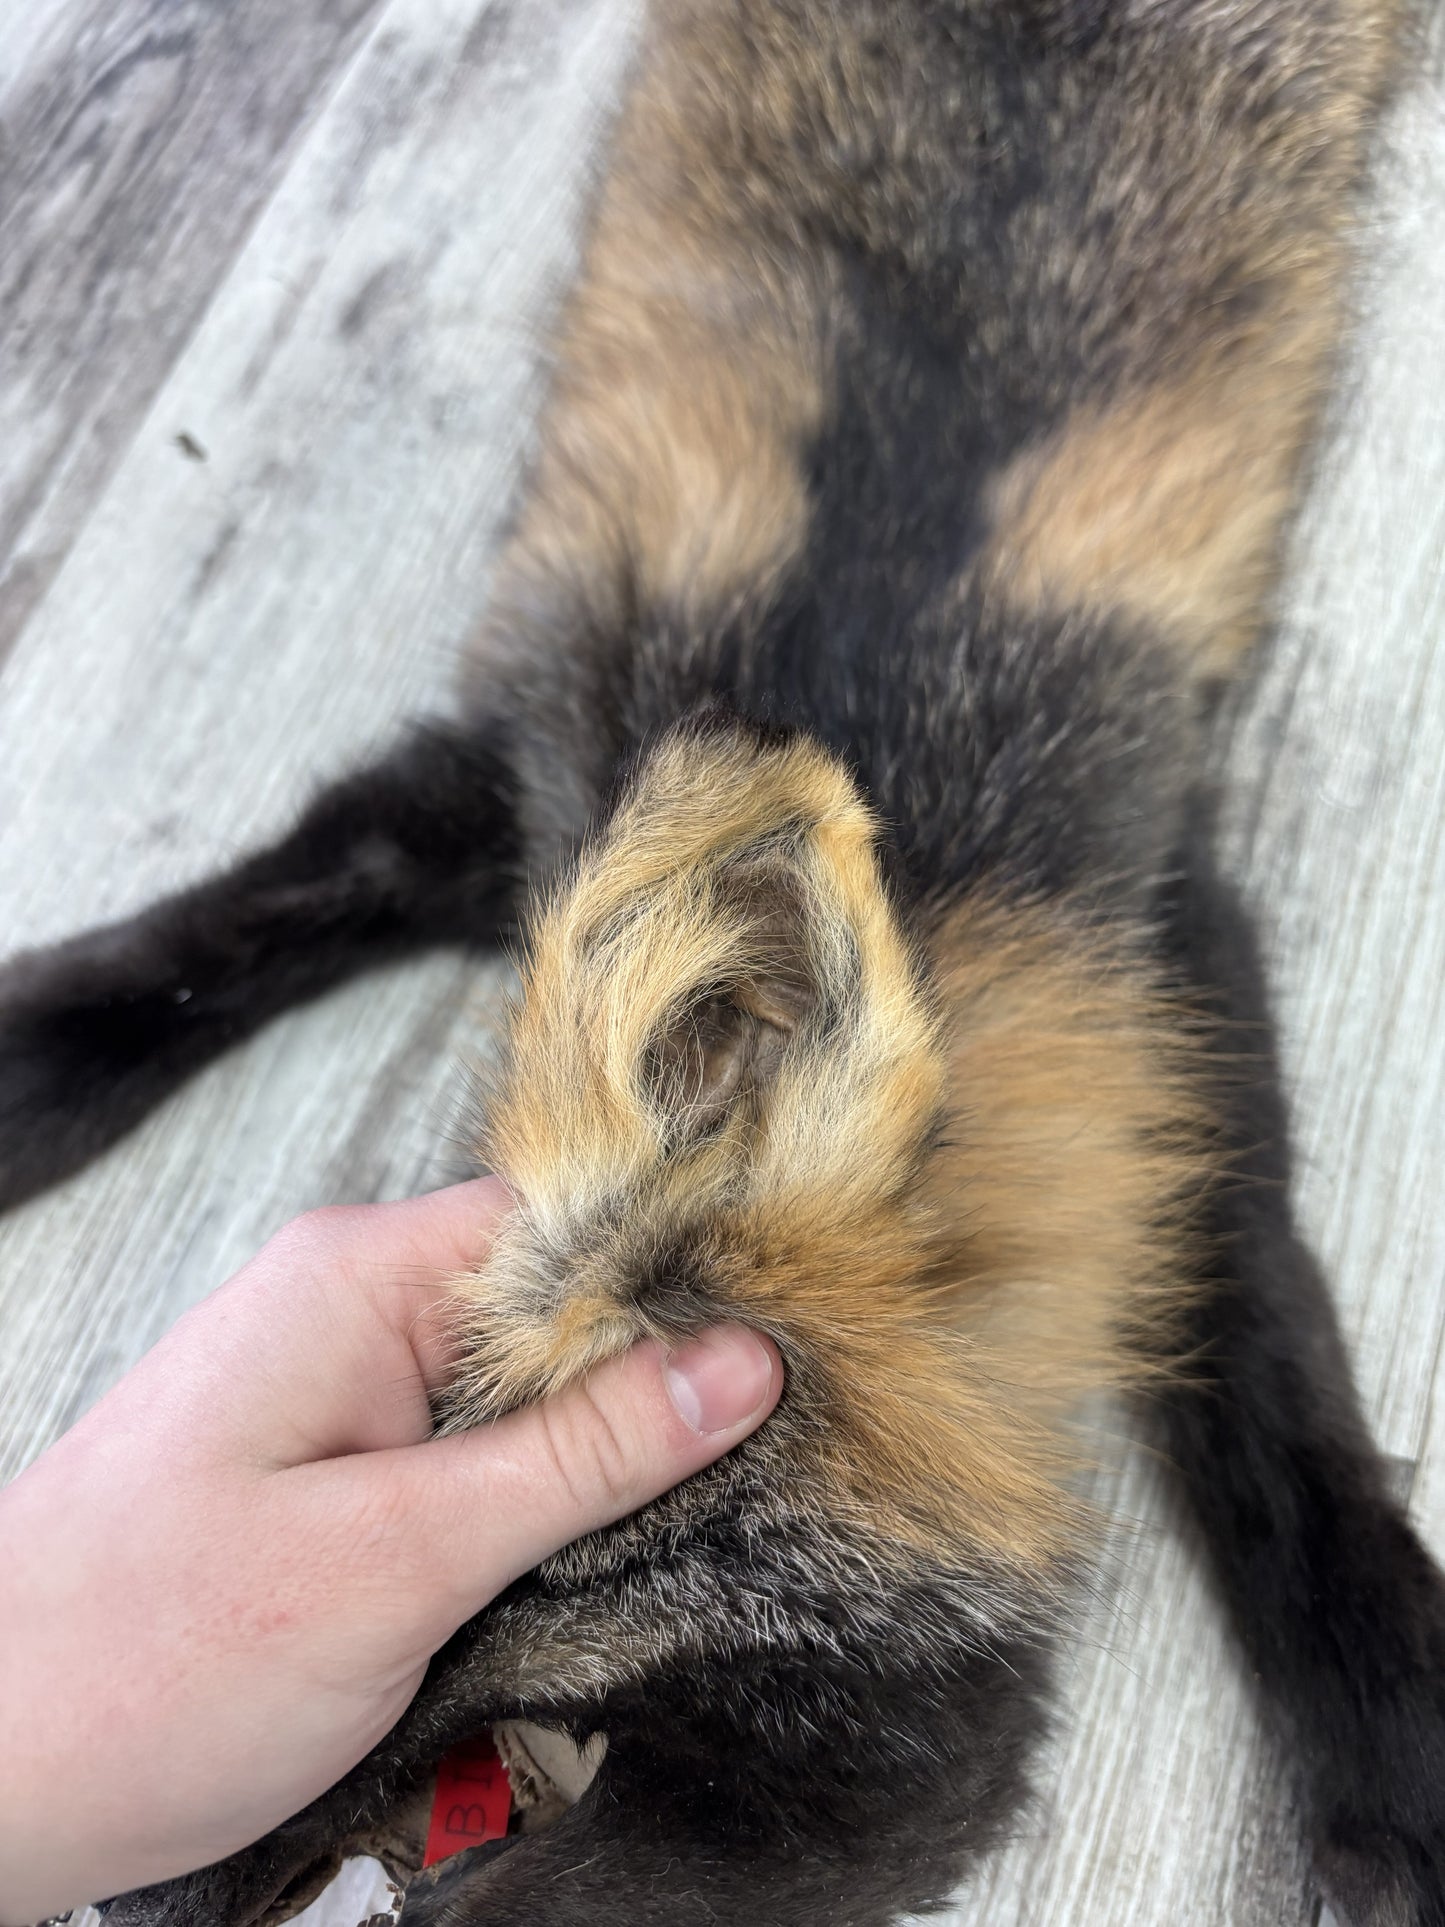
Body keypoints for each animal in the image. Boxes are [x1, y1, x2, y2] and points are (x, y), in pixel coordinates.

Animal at [2, 0, 1443, 1923]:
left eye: (517, 1583)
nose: (118, 1875)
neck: (889, 768)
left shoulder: (1170, 951)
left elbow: (1264, 1333)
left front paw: (1384, 1710)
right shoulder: (536, 750)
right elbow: (248, 915)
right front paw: (25, 1059)